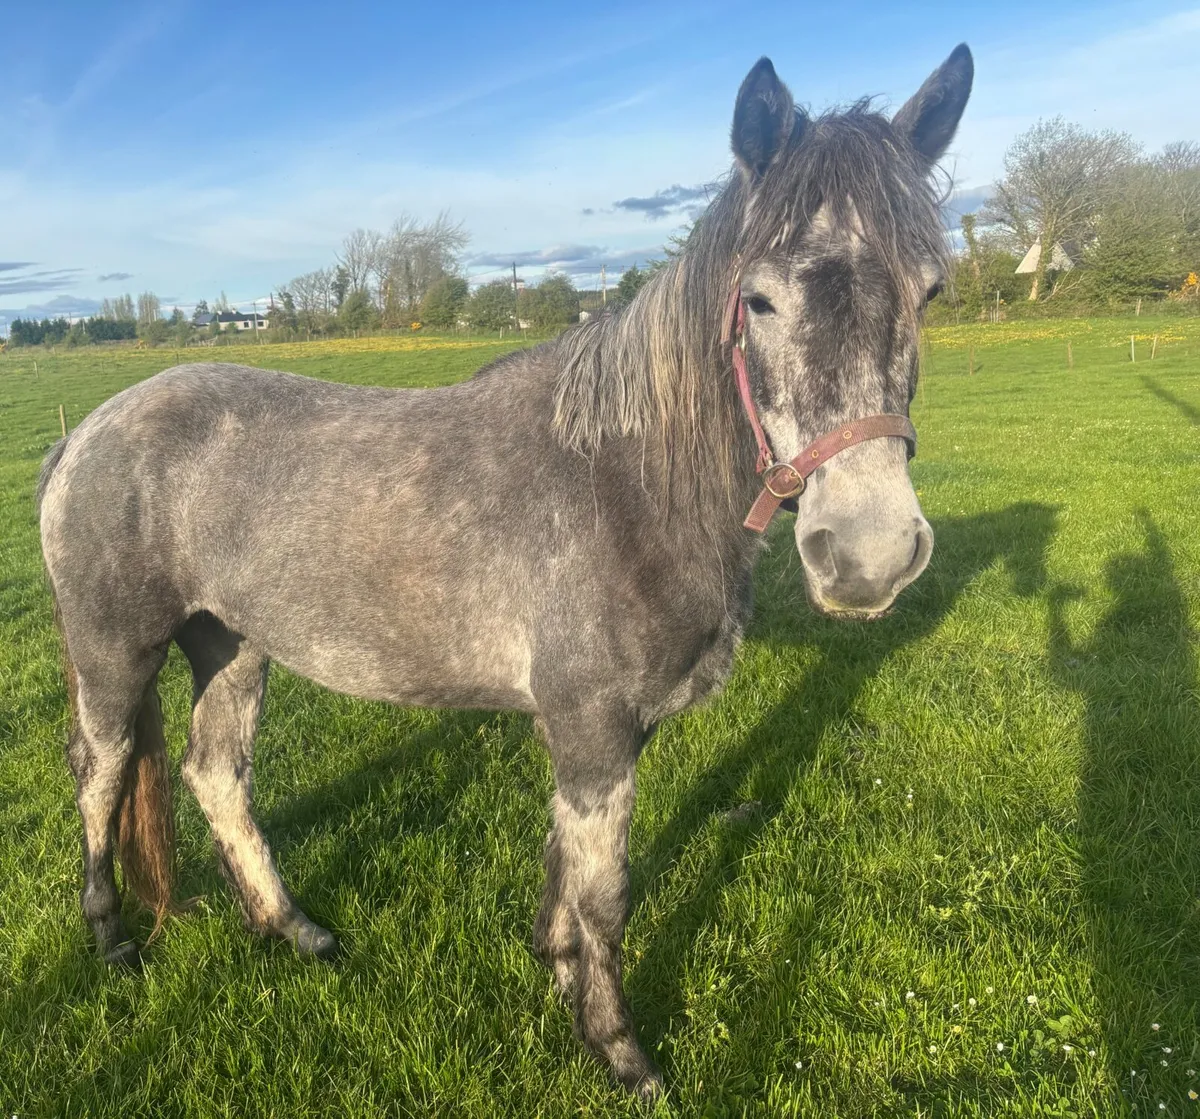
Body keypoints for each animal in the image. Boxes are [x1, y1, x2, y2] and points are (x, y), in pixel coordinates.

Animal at [38, 46, 972, 1099]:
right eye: (761, 300)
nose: (867, 553)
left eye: (930, 292)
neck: (623, 483)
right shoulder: (594, 727)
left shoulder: (604, 729)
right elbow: (607, 893)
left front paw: (555, 967)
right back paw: (111, 938)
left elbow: (568, 866)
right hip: (115, 651)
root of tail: (86, 432)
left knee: (216, 773)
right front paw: (619, 1049)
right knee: (101, 771)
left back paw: (292, 927)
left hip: (231, 641)